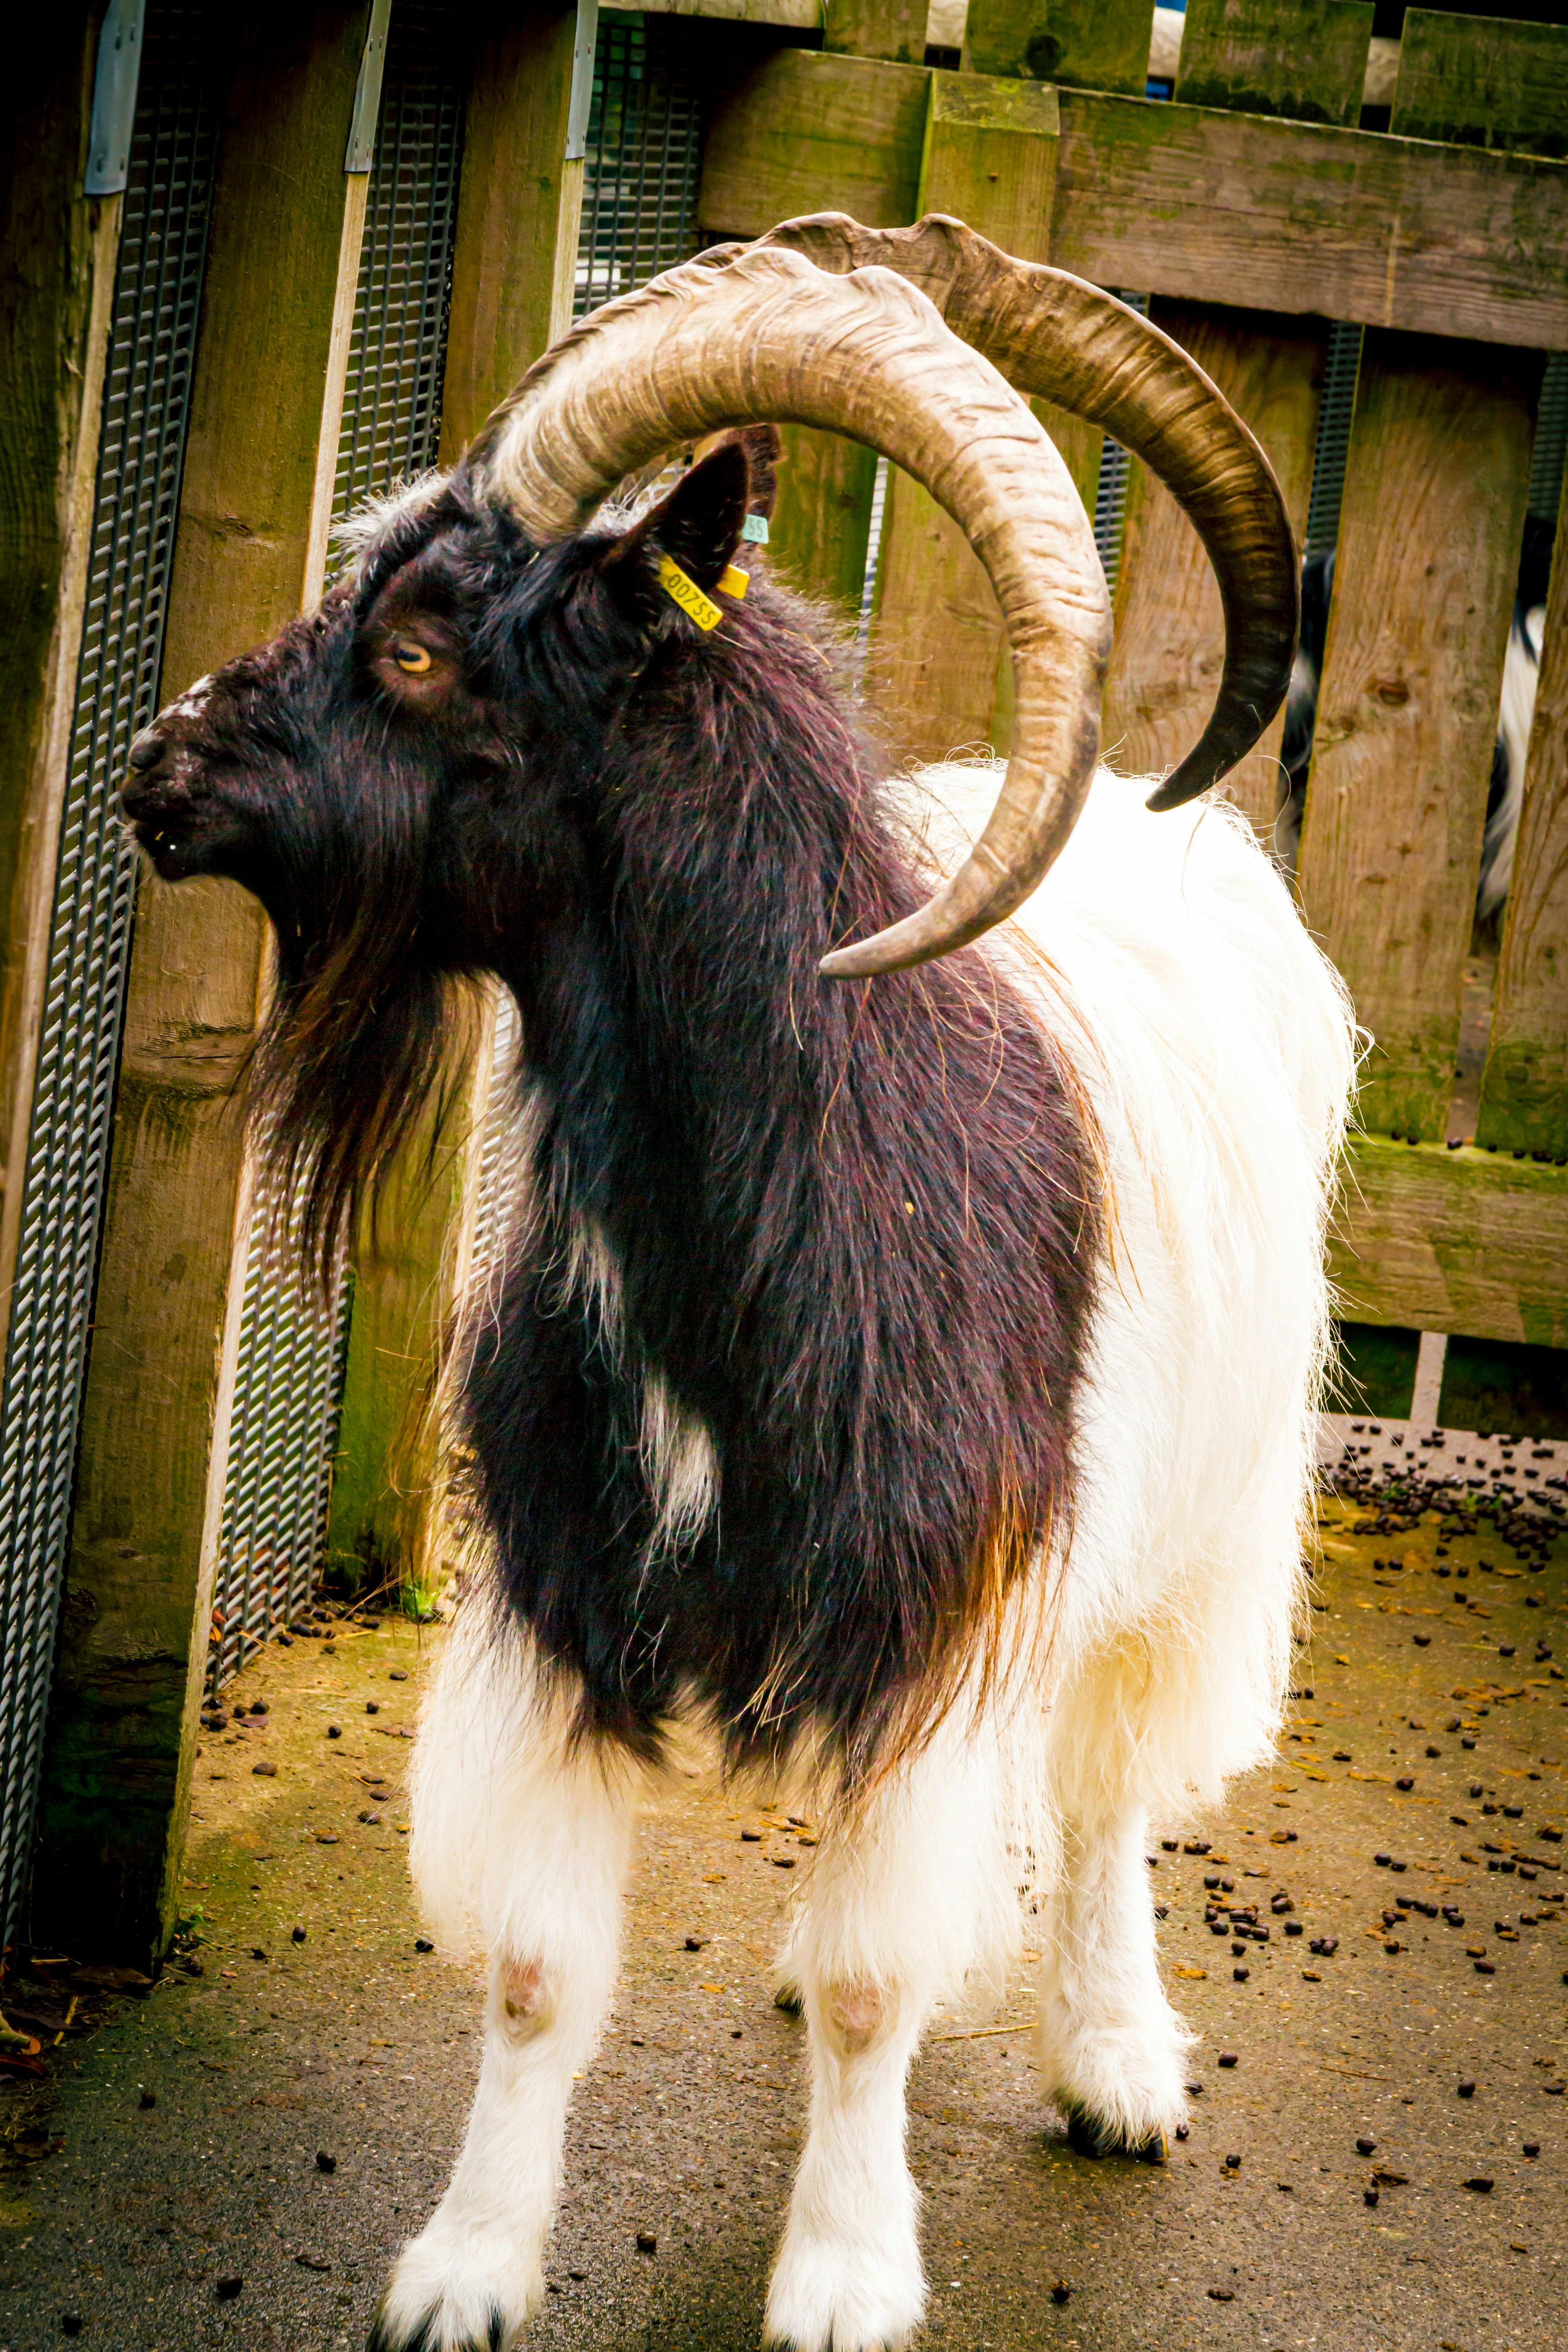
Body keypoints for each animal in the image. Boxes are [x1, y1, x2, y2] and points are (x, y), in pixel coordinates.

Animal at [122, 215, 1357, 2352]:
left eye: (423, 642)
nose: (155, 762)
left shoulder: (943, 1608)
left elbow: (877, 1984)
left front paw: (845, 2273)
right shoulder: (556, 1596)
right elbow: (543, 1968)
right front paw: (463, 2264)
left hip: (1201, 1524)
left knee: (1110, 1790)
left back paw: (1115, 2057)